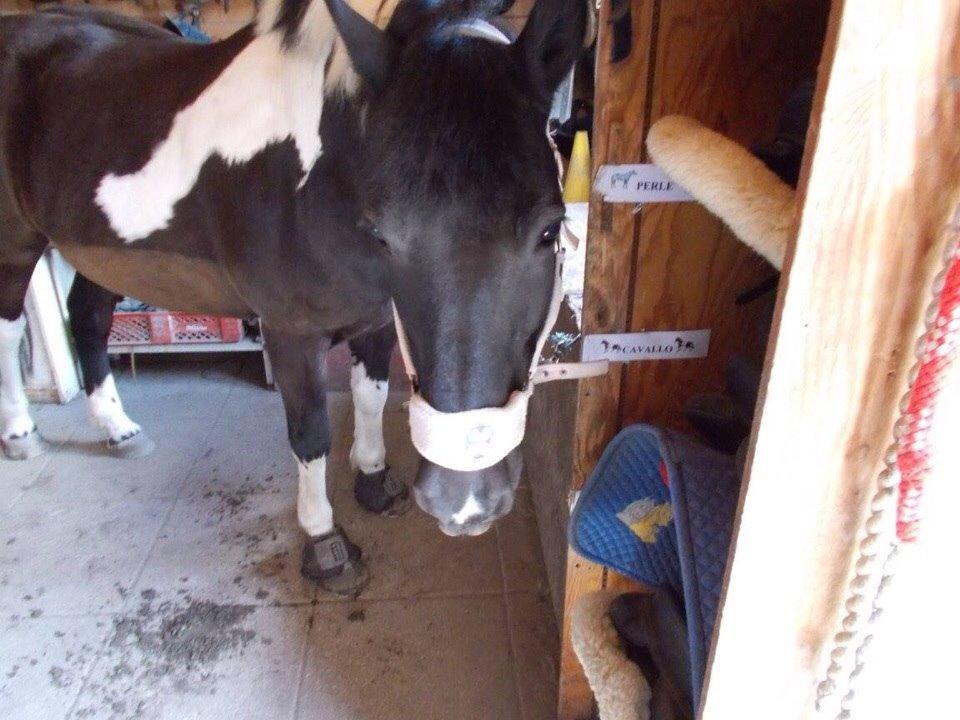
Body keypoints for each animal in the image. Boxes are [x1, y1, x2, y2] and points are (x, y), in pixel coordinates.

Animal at [0, 0, 588, 595]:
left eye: (549, 230)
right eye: (384, 236)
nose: (463, 503)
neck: (320, 177)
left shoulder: (377, 320)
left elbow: (370, 396)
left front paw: (374, 480)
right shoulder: (290, 334)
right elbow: (310, 433)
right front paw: (324, 541)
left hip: (103, 252)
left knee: (87, 319)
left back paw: (117, 428)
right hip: (17, 247)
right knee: (10, 331)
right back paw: (22, 432)